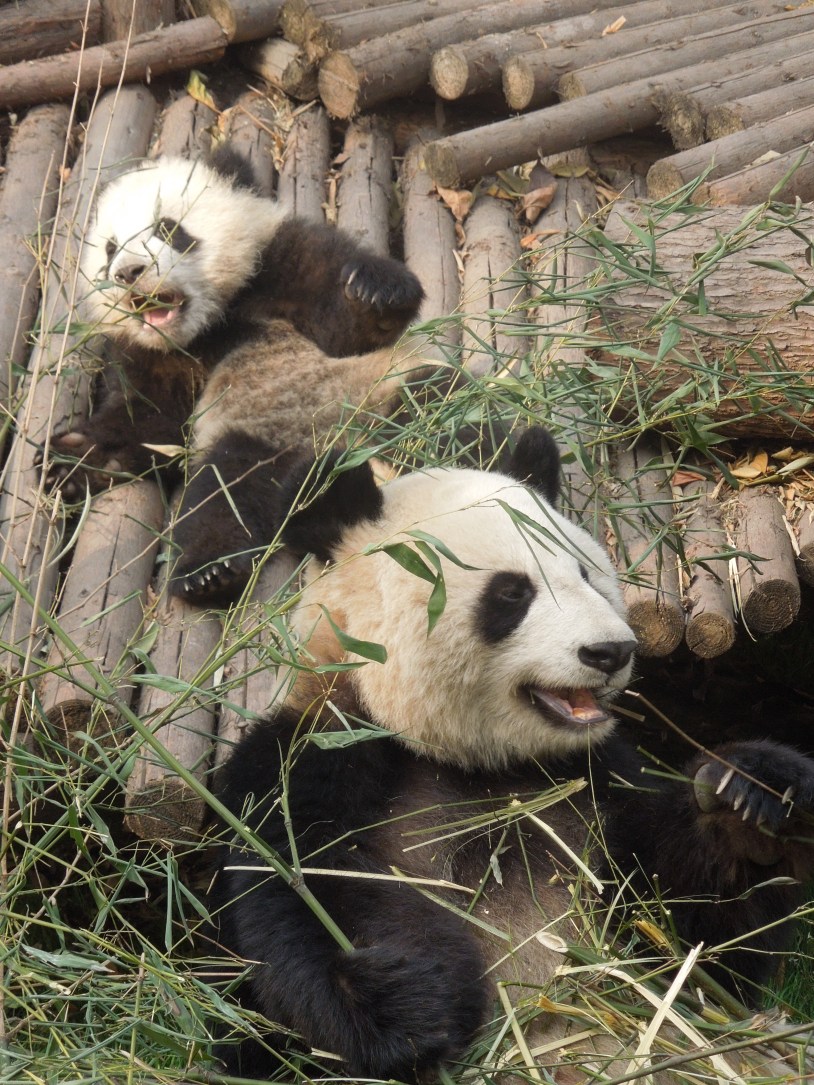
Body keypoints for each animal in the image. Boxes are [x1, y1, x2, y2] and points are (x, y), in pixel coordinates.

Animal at [41, 151, 424, 605]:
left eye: (168, 228)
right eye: (110, 249)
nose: (128, 272)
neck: (209, 325)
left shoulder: (281, 262)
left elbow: (348, 330)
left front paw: (374, 291)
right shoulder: (152, 358)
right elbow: (152, 422)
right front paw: (69, 459)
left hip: (382, 392)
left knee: (437, 404)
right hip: (249, 444)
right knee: (221, 495)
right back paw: (209, 570)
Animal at [211, 425, 814, 1083]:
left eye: (586, 573)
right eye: (511, 593)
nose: (611, 650)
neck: (479, 762)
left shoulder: (596, 779)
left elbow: (694, 943)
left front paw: (748, 800)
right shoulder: (317, 755)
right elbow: (305, 892)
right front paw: (405, 1002)